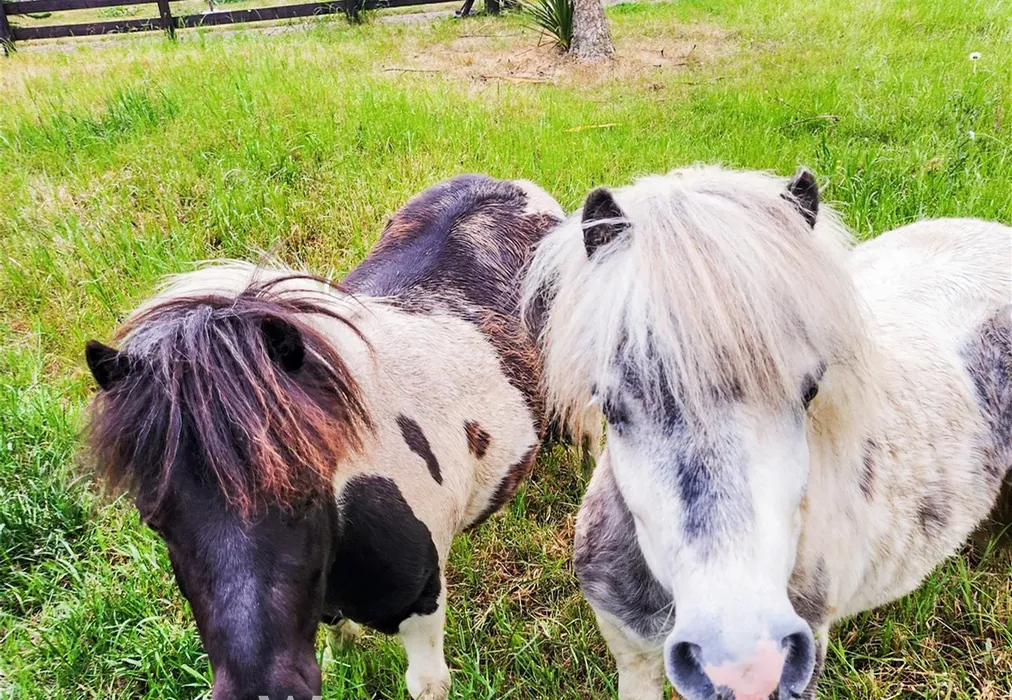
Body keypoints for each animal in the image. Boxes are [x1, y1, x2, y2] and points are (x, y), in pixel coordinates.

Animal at [83, 174, 565, 700]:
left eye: (308, 493)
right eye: (153, 520)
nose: (262, 690)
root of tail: (509, 186)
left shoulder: (423, 604)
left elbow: (426, 680)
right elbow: (340, 640)